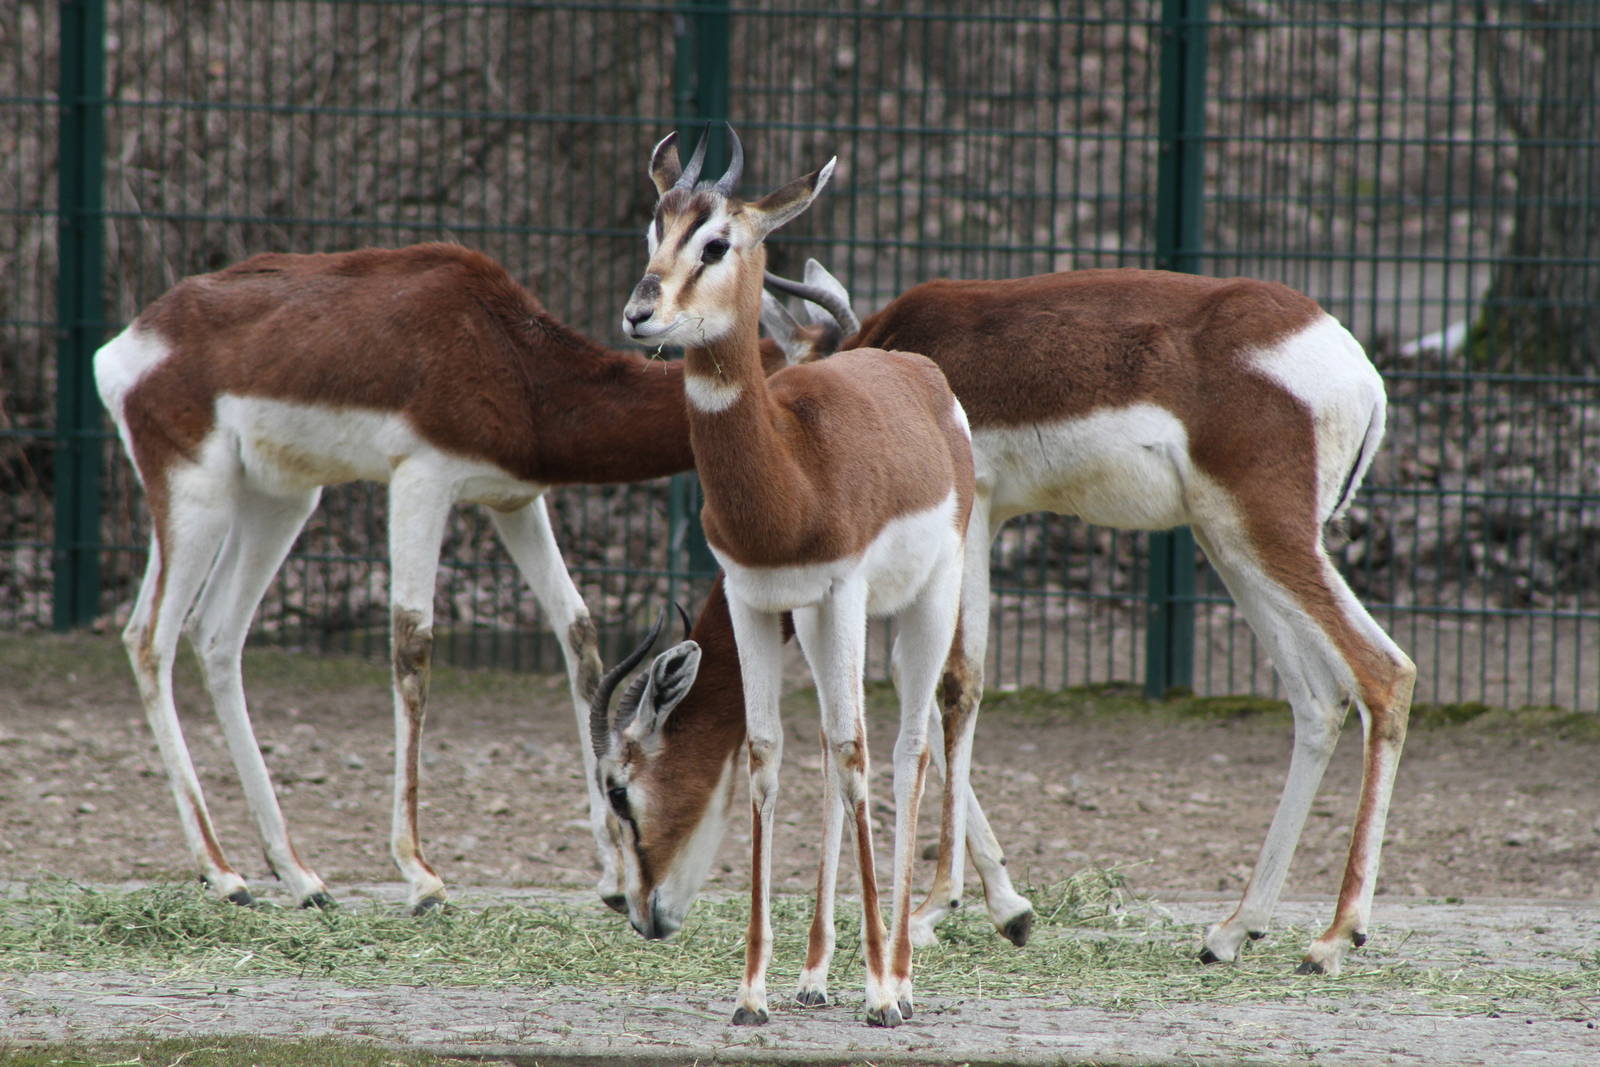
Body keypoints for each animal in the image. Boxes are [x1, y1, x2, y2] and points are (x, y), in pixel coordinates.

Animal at [92, 241, 737, 914]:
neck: (505, 350)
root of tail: (130, 344)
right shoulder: (421, 480)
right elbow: (413, 645)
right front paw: (422, 876)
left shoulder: (513, 501)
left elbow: (579, 632)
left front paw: (611, 875)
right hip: (196, 496)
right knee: (149, 638)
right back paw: (222, 873)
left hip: (281, 500)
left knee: (217, 633)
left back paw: (299, 877)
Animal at [599, 256, 1417, 984]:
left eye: (618, 787)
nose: (629, 908)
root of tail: (1356, 366)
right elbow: (917, 683)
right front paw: (1009, 908)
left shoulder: (974, 515)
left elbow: (950, 681)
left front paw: (941, 908)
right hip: (1228, 542)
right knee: (1318, 697)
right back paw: (1233, 931)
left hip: (1266, 535)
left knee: (1386, 671)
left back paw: (1334, 938)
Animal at [615, 127, 975, 1027]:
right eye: (654, 229)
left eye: (717, 241)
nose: (639, 313)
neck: (792, 471)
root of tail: (919, 375)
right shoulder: (755, 598)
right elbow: (768, 751)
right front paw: (753, 991)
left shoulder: (844, 592)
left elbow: (853, 751)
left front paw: (879, 991)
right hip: (811, 623)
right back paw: (815, 973)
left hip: (926, 600)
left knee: (907, 746)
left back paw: (902, 976)